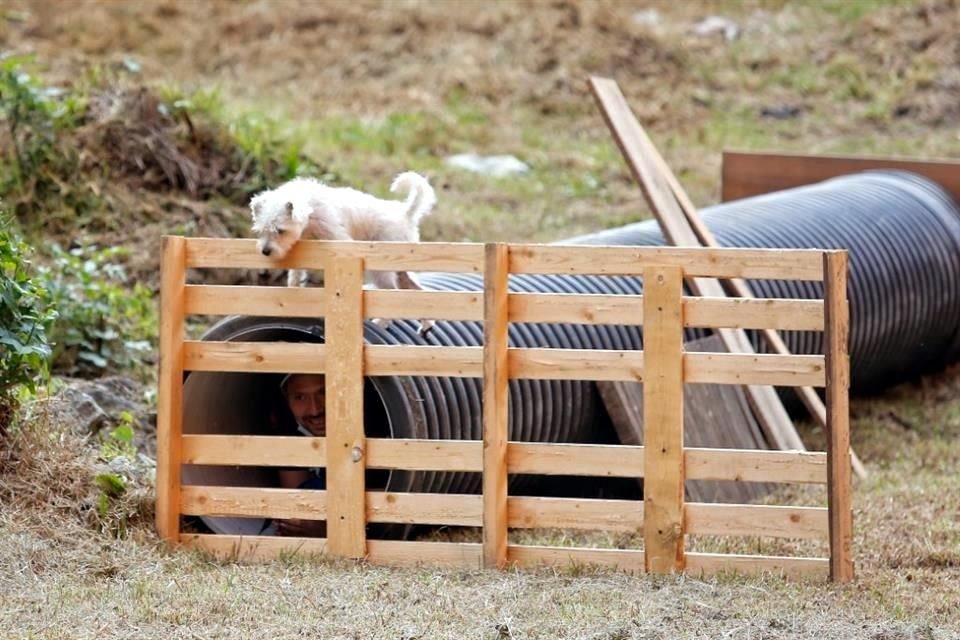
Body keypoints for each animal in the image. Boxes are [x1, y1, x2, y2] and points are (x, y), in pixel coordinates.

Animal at [251, 172, 438, 338]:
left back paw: (380, 323)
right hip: (401, 271)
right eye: (261, 230)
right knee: (418, 293)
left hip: (381, 270)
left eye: (280, 230)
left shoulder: (338, 241)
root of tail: (406, 214)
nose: (265, 252)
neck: (311, 211)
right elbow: (296, 276)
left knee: (392, 294)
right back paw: (426, 325)